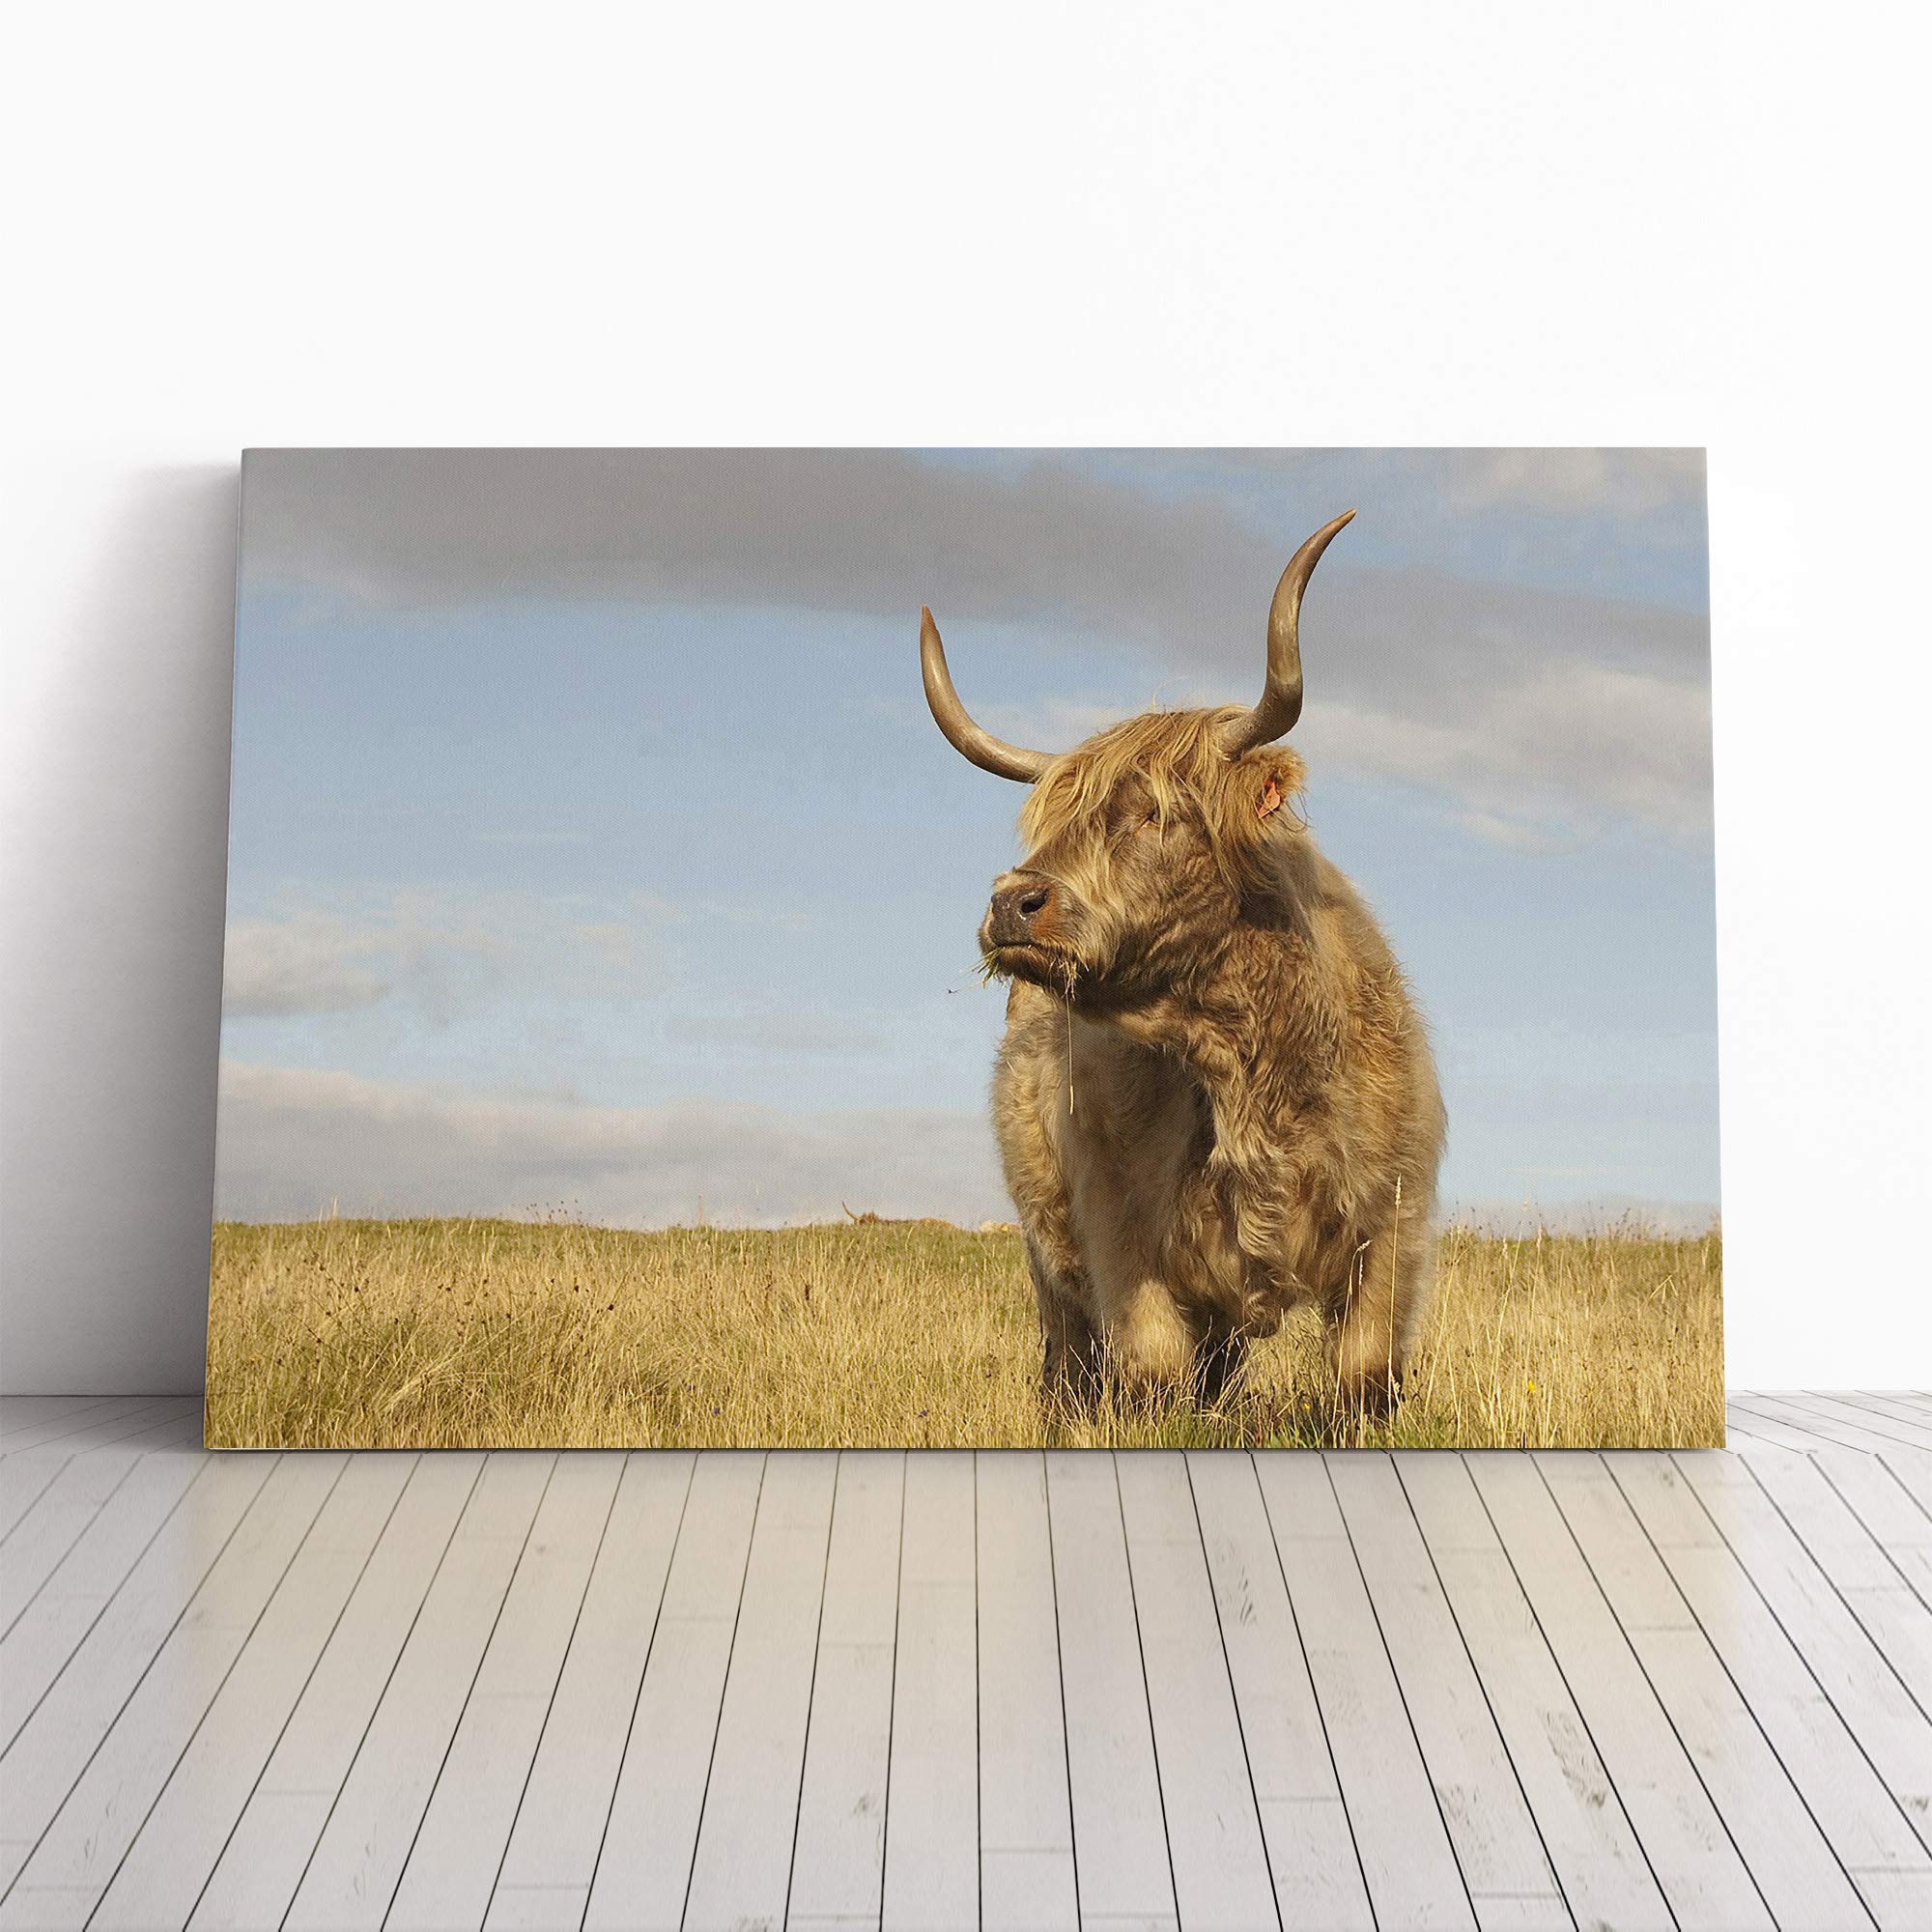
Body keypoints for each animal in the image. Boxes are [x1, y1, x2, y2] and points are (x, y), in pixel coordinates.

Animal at [921, 511, 1446, 1411]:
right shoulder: (1120, 1230)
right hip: (1046, 1254)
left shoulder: (1392, 1228)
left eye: (1158, 813)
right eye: (1053, 821)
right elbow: (1150, 1373)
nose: (1013, 902)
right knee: (1071, 1359)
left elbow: (1364, 1376)